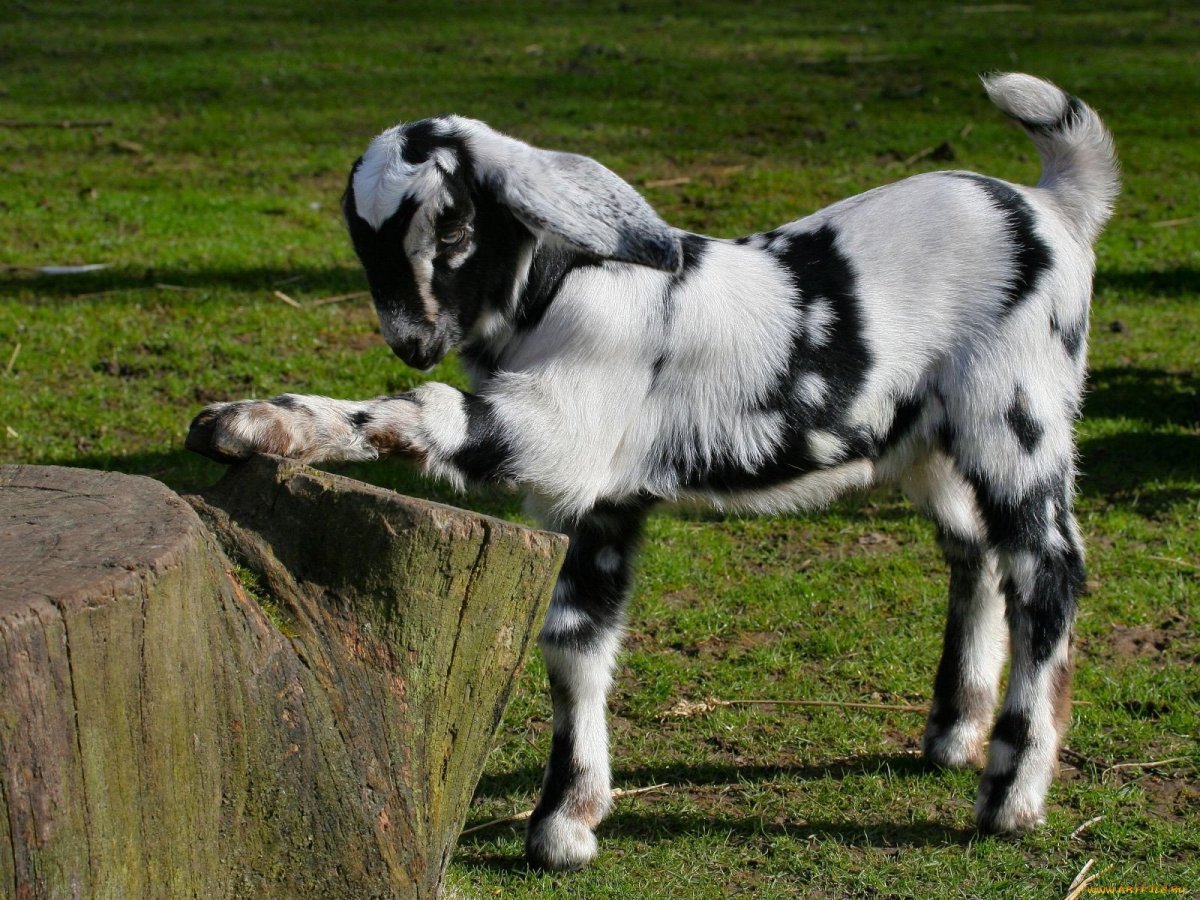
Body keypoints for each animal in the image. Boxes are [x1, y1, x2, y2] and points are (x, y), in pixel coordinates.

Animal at [188, 73, 1118, 870]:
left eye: (452, 230)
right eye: (361, 240)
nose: (412, 340)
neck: (559, 287)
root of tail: (1054, 205)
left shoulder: (558, 436)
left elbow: (421, 410)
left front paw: (256, 421)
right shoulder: (595, 504)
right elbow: (574, 641)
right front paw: (567, 824)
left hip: (1018, 412)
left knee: (1048, 569)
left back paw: (1011, 794)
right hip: (929, 443)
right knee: (977, 553)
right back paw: (954, 735)